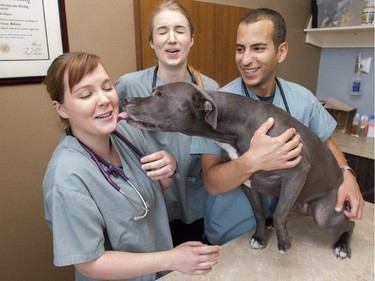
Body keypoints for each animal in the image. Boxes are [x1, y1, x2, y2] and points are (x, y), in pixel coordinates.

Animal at [119, 81, 356, 258]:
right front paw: (260, 237)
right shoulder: (246, 180)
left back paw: (342, 246)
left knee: (349, 224)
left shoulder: (297, 171)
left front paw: (283, 242)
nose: (126, 100)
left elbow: (279, 215)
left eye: (160, 94)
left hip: (326, 217)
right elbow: (258, 212)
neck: (235, 125)